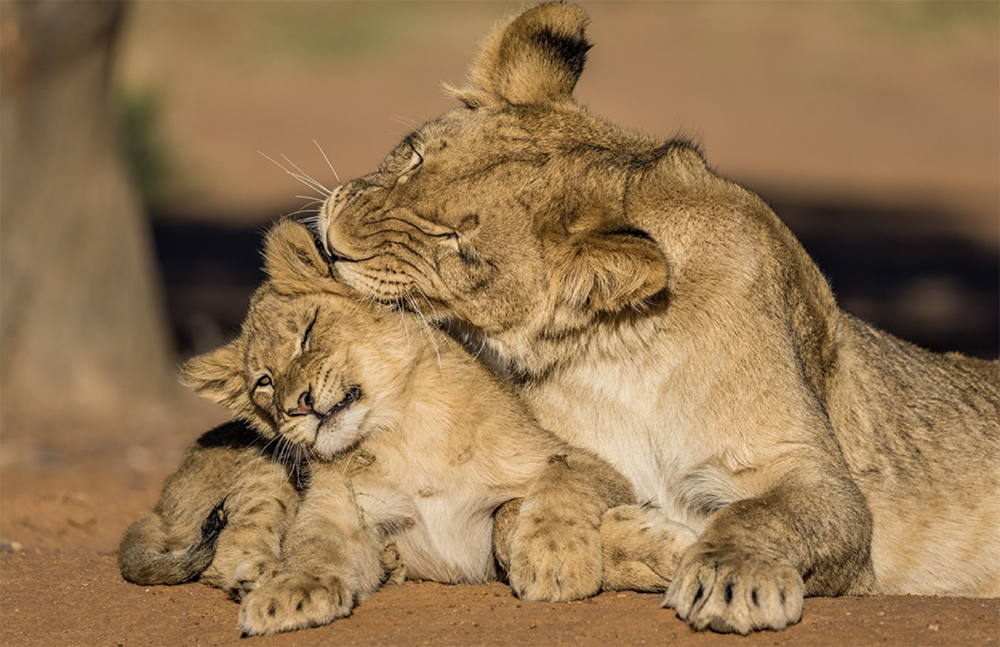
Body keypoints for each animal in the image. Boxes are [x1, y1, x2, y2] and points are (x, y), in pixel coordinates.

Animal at [137, 219, 695, 635]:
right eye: (263, 383)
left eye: (308, 332)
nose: (298, 406)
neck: (395, 432)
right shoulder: (339, 514)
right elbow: (312, 546)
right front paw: (288, 594)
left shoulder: (586, 461)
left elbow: (538, 499)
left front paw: (558, 559)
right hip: (264, 468)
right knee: (228, 551)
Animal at [315, 1, 1000, 634]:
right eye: (411, 158)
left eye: (455, 241)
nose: (335, 238)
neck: (633, 354)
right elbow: (516, 518)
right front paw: (627, 545)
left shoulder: (818, 480)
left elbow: (754, 512)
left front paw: (728, 577)